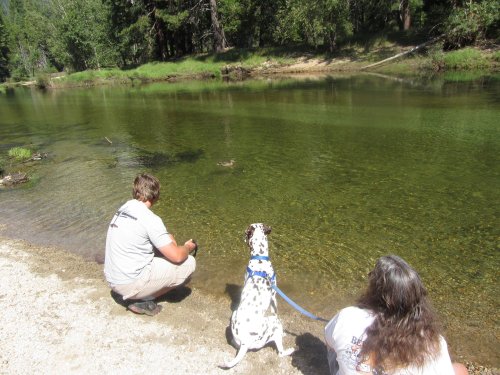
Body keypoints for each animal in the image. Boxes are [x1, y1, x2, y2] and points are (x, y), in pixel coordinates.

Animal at [221, 225, 294, 368]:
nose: (242, 237)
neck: (259, 258)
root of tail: (245, 341)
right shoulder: (274, 297)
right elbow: (275, 310)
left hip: (234, 315)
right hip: (275, 324)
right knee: (281, 352)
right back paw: (290, 349)